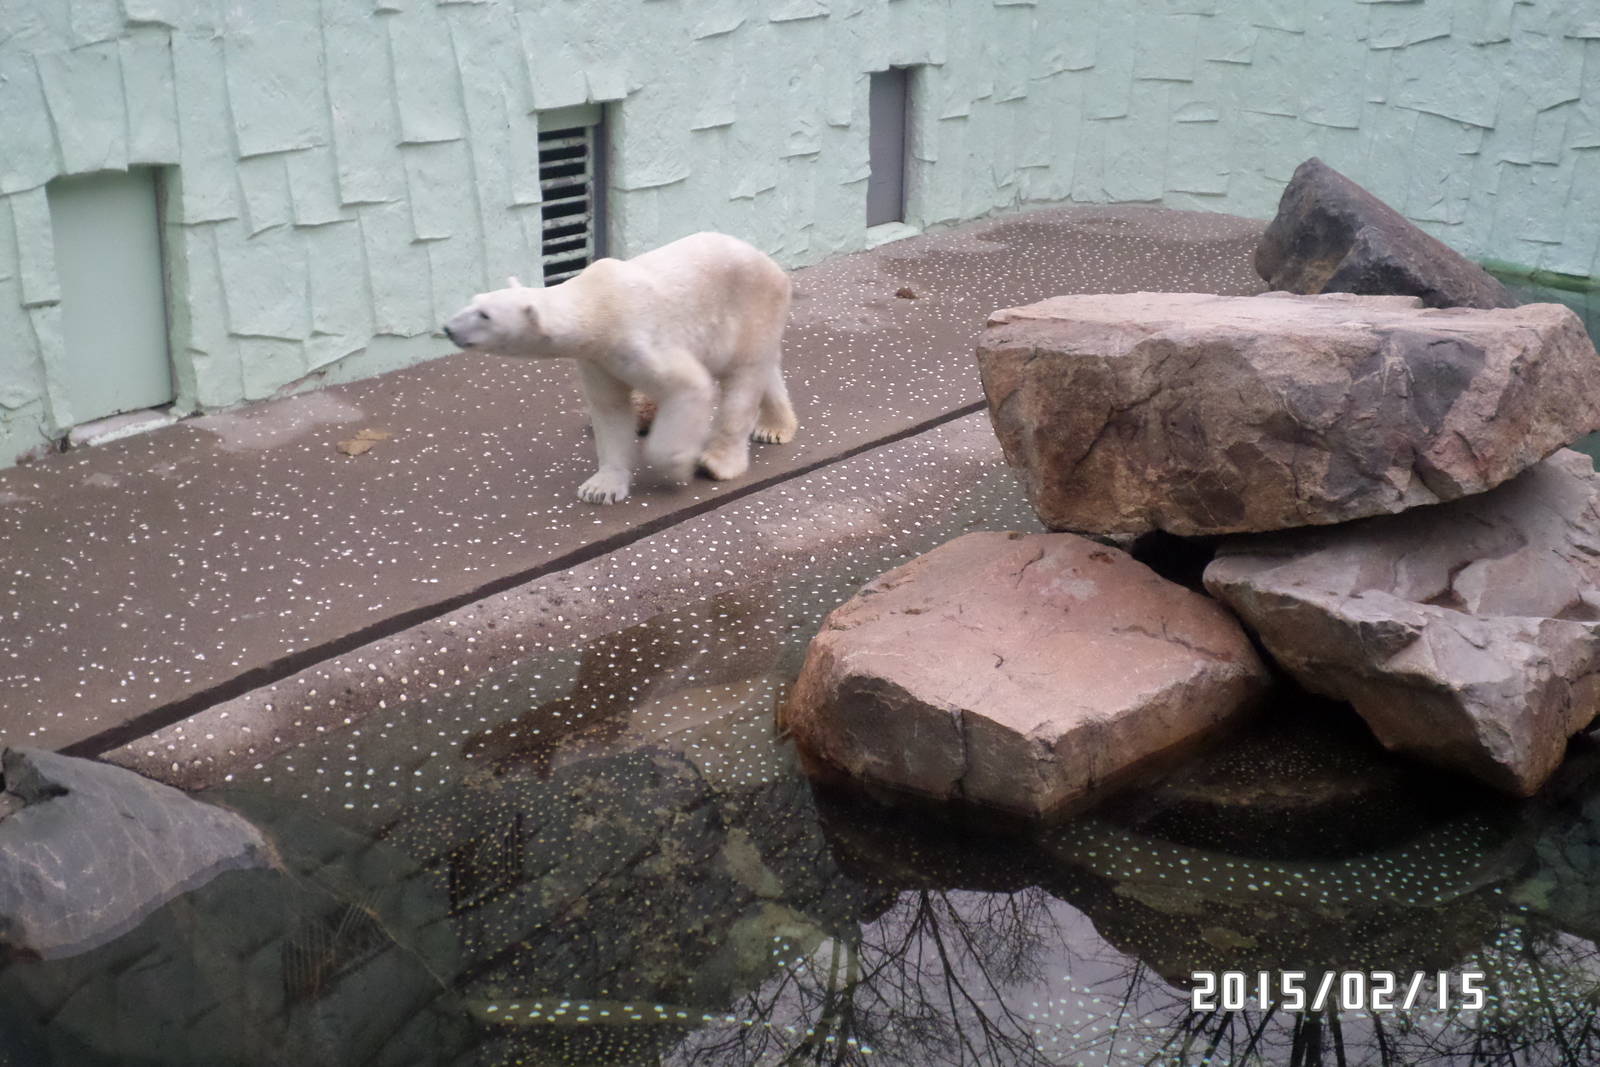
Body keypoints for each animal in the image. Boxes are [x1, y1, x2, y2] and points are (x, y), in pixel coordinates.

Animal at [442, 232, 797, 505]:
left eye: (485, 315)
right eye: (474, 301)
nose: (448, 328)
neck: (597, 304)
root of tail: (772, 264)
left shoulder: (637, 338)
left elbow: (688, 385)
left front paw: (675, 466)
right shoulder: (596, 359)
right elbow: (609, 409)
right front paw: (599, 489)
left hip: (752, 306)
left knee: (743, 383)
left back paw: (717, 463)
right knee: (763, 371)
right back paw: (774, 429)